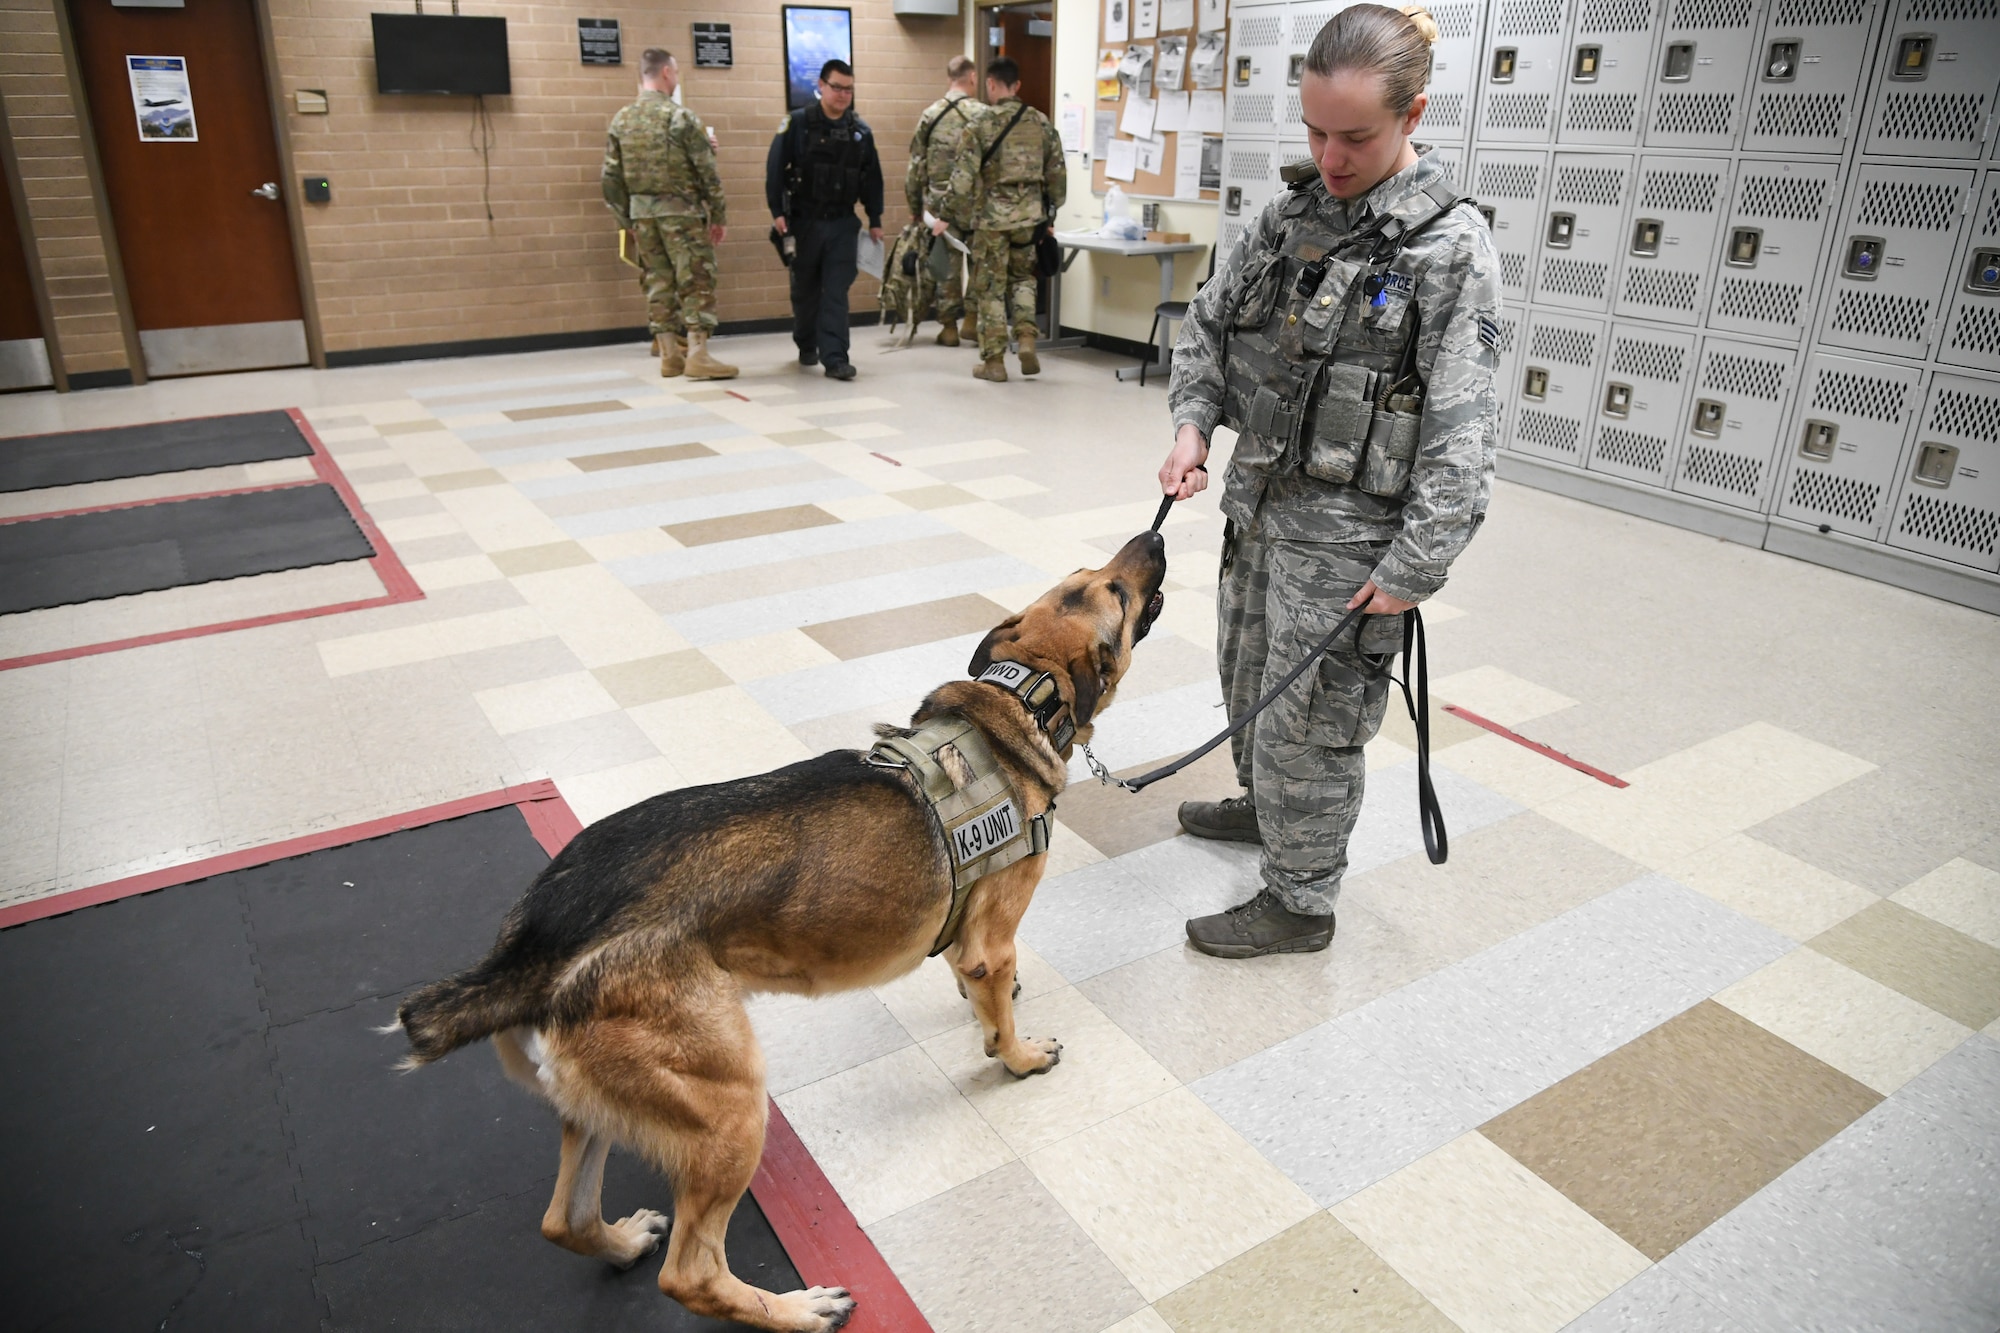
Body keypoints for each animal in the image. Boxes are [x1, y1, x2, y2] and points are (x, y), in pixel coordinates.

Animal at [390, 528, 1168, 1328]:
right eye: (1113, 591)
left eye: (1094, 576)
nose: (1155, 535)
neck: (1019, 696)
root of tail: (529, 946)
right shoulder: (990, 942)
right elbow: (998, 1013)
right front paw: (1018, 1054)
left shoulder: (968, 942)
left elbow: (976, 985)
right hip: (731, 1104)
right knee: (691, 1274)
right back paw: (796, 1309)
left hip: (609, 1107)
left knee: (564, 1220)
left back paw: (623, 1240)